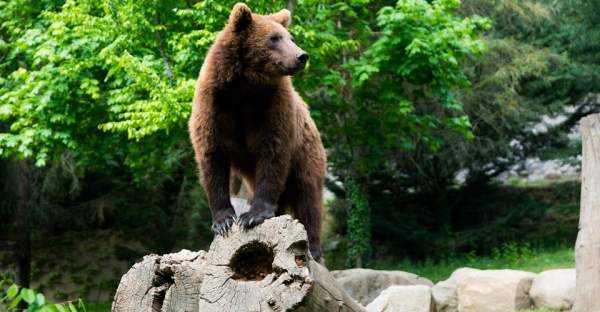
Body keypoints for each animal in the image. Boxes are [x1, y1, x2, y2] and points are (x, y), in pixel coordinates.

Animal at [189, 3, 326, 260]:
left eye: (290, 38)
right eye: (274, 38)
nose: (301, 56)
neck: (245, 85)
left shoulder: (271, 107)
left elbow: (273, 154)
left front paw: (253, 215)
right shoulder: (214, 105)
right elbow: (212, 159)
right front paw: (223, 221)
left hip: (306, 153)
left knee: (308, 196)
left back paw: (314, 247)